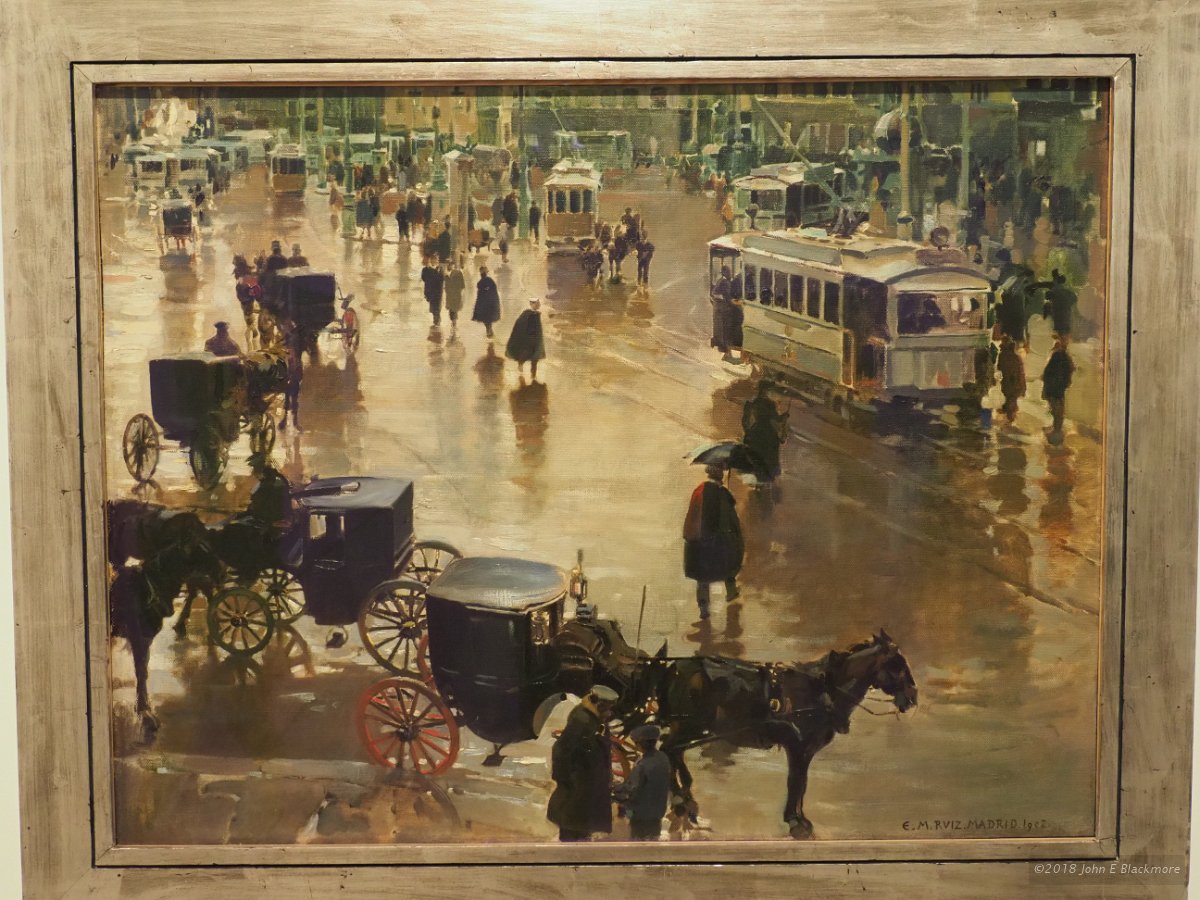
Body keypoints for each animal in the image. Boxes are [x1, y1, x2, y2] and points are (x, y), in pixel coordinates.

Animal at [651, 630, 917, 839]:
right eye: (896, 667)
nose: (912, 698)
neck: (822, 690)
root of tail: (675, 666)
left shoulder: (807, 750)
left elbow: (802, 784)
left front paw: (800, 818)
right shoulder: (796, 746)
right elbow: (795, 782)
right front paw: (795, 821)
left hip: (691, 727)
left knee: (673, 751)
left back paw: (684, 795)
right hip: (689, 725)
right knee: (668, 748)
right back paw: (680, 797)